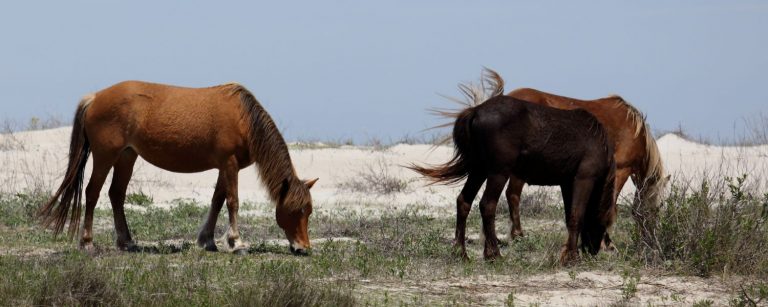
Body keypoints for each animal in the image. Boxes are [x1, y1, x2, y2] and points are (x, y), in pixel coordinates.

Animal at [36, 81, 316, 255]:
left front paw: (207, 240)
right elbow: (233, 202)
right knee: (92, 193)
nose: (303, 248)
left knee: (116, 194)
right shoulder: (230, 164)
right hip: (105, 156)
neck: (244, 119)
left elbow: (217, 200)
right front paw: (236, 242)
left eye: (309, 211)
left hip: (127, 157)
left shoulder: (224, 167)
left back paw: (127, 242)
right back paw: (87, 242)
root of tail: (95, 97)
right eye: (296, 210)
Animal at [412, 70, 616, 264]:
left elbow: (569, 217)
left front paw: (568, 254)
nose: (592, 249)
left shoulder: (566, 183)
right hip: (498, 172)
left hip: (478, 170)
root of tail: (476, 110)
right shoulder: (584, 179)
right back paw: (493, 254)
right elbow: (576, 216)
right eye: (604, 223)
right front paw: (572, 257)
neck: (599, 141)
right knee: (487, 205)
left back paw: (461, 253)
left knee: (464, 201)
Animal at [504, 88, 664, 249]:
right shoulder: (620, 171)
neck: (635, 131)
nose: (652, 243)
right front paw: (605, 243)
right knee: (513, 195)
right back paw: (518, 235)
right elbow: (608, 206)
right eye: (656, 210)